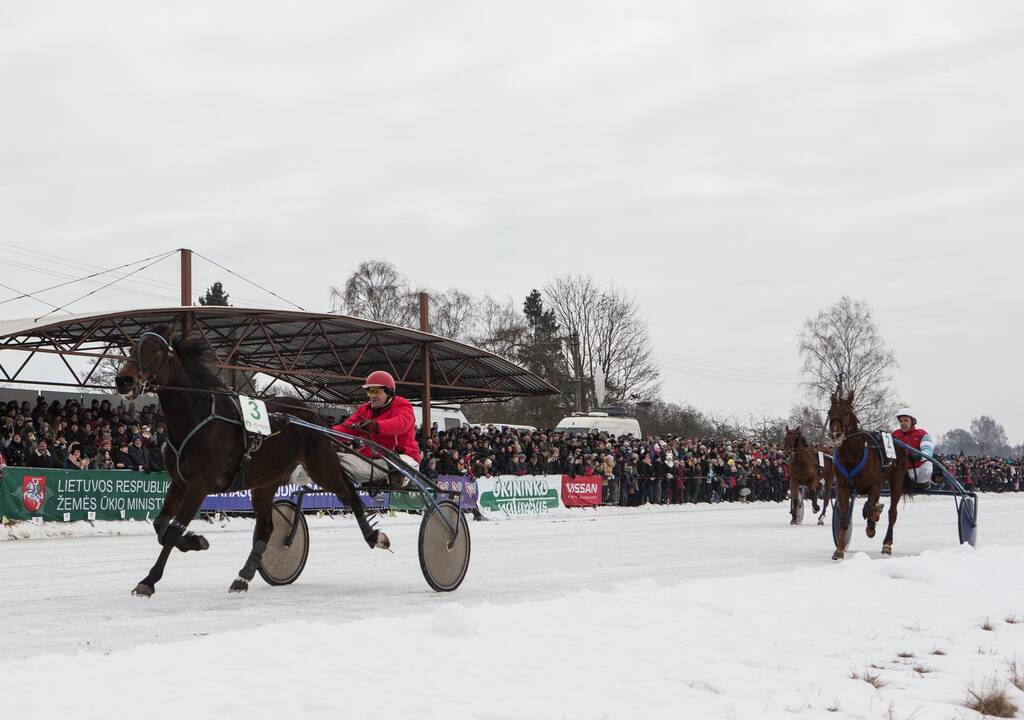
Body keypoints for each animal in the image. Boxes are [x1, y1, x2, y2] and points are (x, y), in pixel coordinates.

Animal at [116, 331, 391, 598]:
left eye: (155, 350)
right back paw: (244, 575)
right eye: (132, 348)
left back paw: (374, 536)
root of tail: (312, 414)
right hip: (266, 482)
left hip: (321, 467)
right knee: (267, 528)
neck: (197, 419)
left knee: (349, 493)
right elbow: (160, 525)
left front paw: (148, 581)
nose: (123, 380)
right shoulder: (179, 482)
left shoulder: (199, 485)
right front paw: (197, 541)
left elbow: (172, 531)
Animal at [823, 391, 913, 561]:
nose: (835, 434)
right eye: (830, 412)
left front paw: (872, 524)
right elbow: (844, 518)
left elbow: (871, 508)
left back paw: (887, 544)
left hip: (896, 481)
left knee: (892, 513)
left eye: (847, 412)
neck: (853, 456)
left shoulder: (875, 485)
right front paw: (839, 549)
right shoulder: (842, 487)